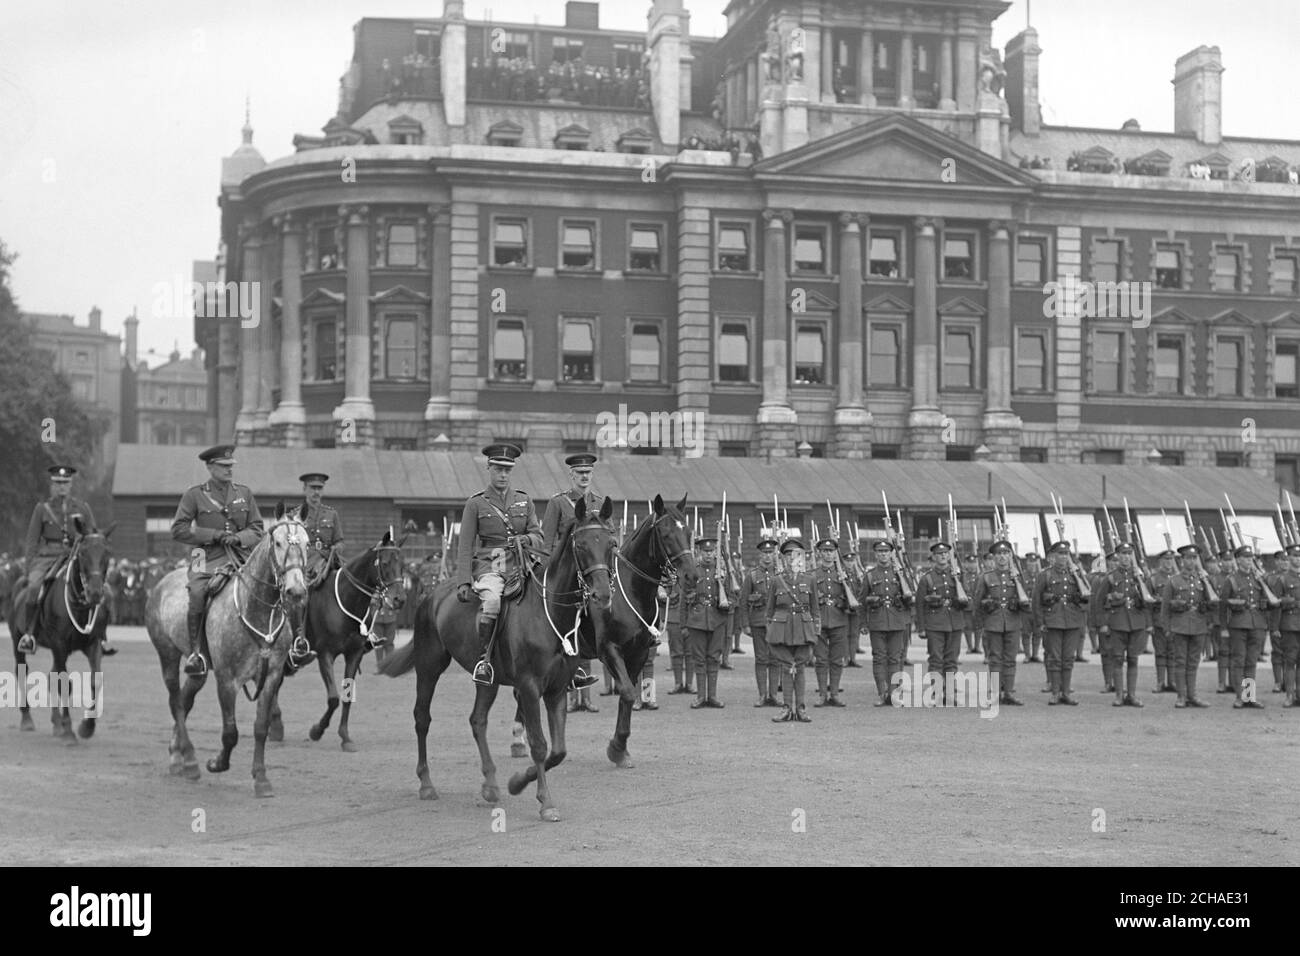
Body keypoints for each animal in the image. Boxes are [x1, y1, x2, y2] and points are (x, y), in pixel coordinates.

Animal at [9, 522, 114, 738]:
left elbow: (94, 680)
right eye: (82, 553)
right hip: (17, 641)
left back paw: (56, 723)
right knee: (22, 671)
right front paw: (68, 730)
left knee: (52, 675)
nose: (95, 593)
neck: (80, 605)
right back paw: (27, 719)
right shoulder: (59, 645)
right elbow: (64, 683)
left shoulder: (93, 644)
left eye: (107, 552)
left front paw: (86, 726)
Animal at [146, 504, 309, 796]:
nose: (296, 591)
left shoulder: (271, 676)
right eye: (278, 543)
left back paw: (177, 755)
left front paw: (261, 778)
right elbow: (230, 732)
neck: (256, 609)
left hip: (198, 669)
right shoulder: (227, 680)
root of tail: (162, 582)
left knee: (185, 700)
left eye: (307, 543)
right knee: (176, 701)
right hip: (167, 655)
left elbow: (261, 727)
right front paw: (217, 763)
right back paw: (189, 760)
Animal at [276, 530, 408, 749]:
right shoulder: (325, 655)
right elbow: (333, 698)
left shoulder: (354, 654)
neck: (347, 600)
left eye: (403, 563)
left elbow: (346, 696)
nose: (399, 599)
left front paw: (345, 737)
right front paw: (316, 731)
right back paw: (274, 726)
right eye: (385, 562)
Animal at [379, 496, 616, 816]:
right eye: (581, 545)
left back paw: (490, 785)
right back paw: (426, 784)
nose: (603, 594)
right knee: (422, 718)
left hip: (487, 681)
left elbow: (558, 750)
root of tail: (432, 595)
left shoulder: (556, 690)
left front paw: (517, 782)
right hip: (429, 667)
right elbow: (539, 743)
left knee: (477, 720)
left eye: (611, 543)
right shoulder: (529, 688)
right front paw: (545, 801)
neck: (548, 614)